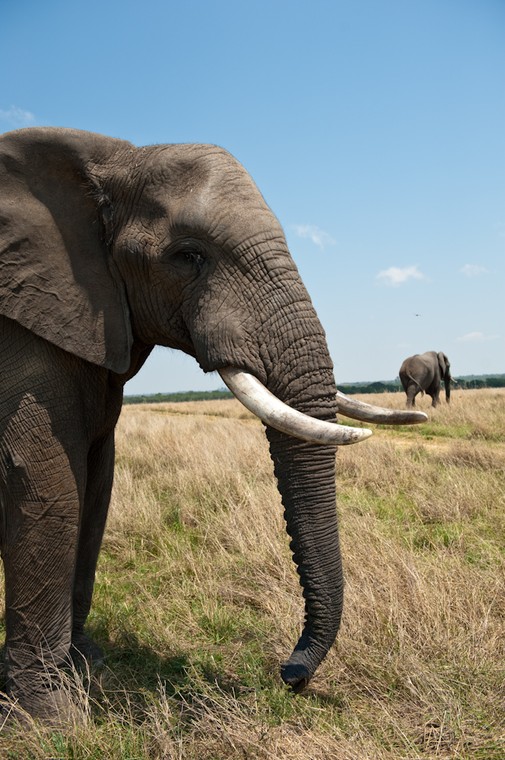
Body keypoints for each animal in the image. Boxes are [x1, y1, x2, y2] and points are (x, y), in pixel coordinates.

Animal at [0, 126, 426, 724]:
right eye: (188, 256)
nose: (290, 674)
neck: (110, 159)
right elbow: (49, 486)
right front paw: (51, 718)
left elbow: (97, 482)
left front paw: (88, 666)